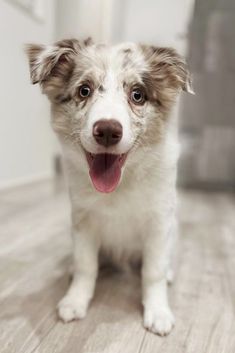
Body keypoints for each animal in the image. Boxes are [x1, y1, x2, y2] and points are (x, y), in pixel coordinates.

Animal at [25, 39, 193, 336]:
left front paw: (158, 311)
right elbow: (85, 265)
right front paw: (75, 300)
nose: (106, 130)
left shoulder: (159, 223)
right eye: (84, 90)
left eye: (137, 95)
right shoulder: (82, 220)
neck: (121, 185)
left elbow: (153, 272)